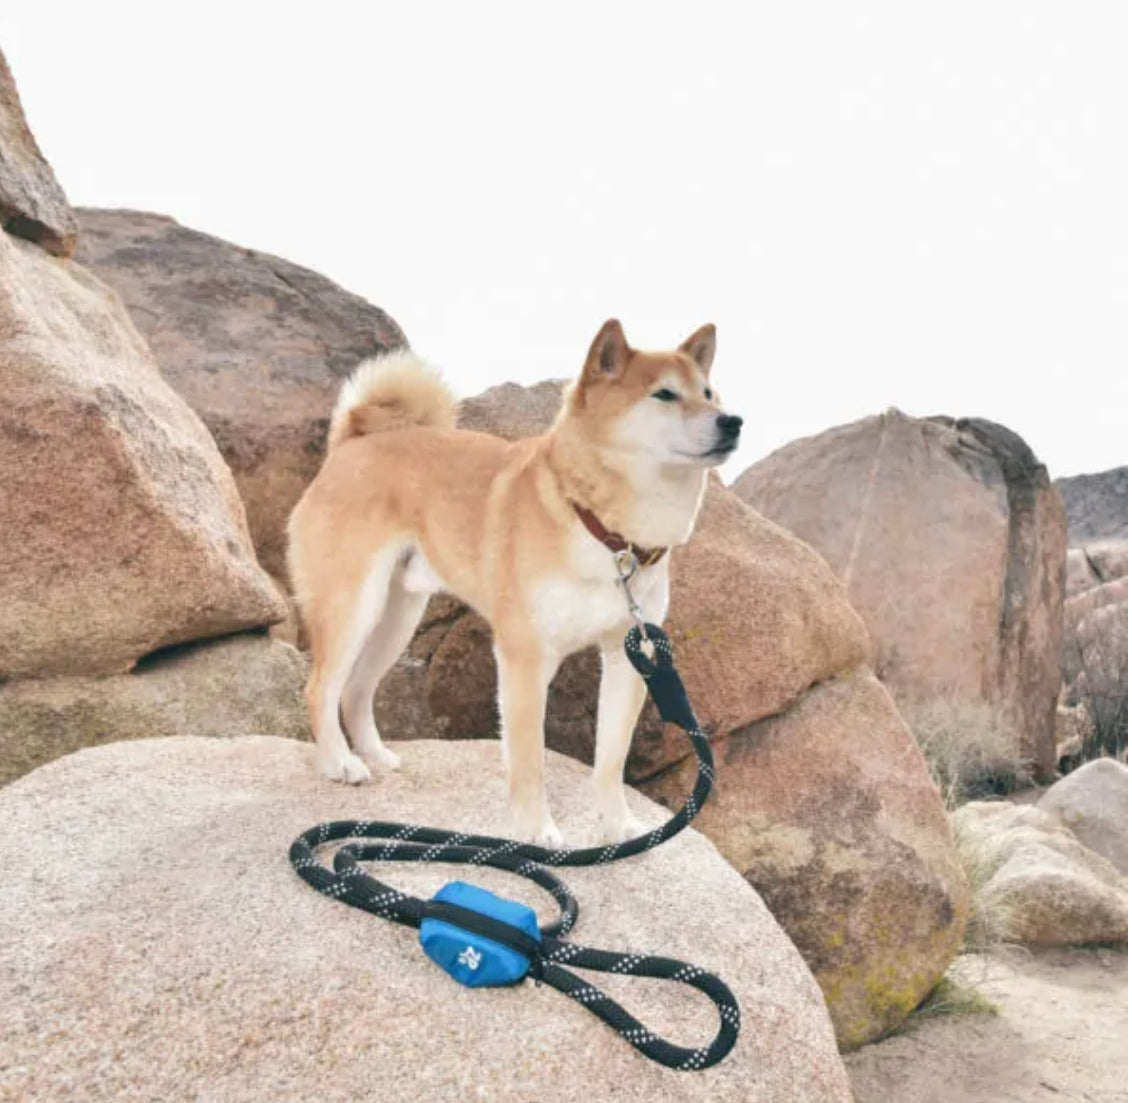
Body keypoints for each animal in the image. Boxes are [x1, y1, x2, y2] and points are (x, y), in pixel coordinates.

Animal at [287, 319, 738, 847]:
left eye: (708, 393)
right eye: (664, 394)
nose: (732, 421)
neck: (604, 530)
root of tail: (350, 444)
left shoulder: (628, 656)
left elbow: (610, 761)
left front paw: (619, 828)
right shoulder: (526, 657)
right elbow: (529, 760)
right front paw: (536, 832)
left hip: (397, 616)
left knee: (356, 690)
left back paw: (375, 755)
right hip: (353, 607)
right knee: (321, 688)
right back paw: (339, 763)